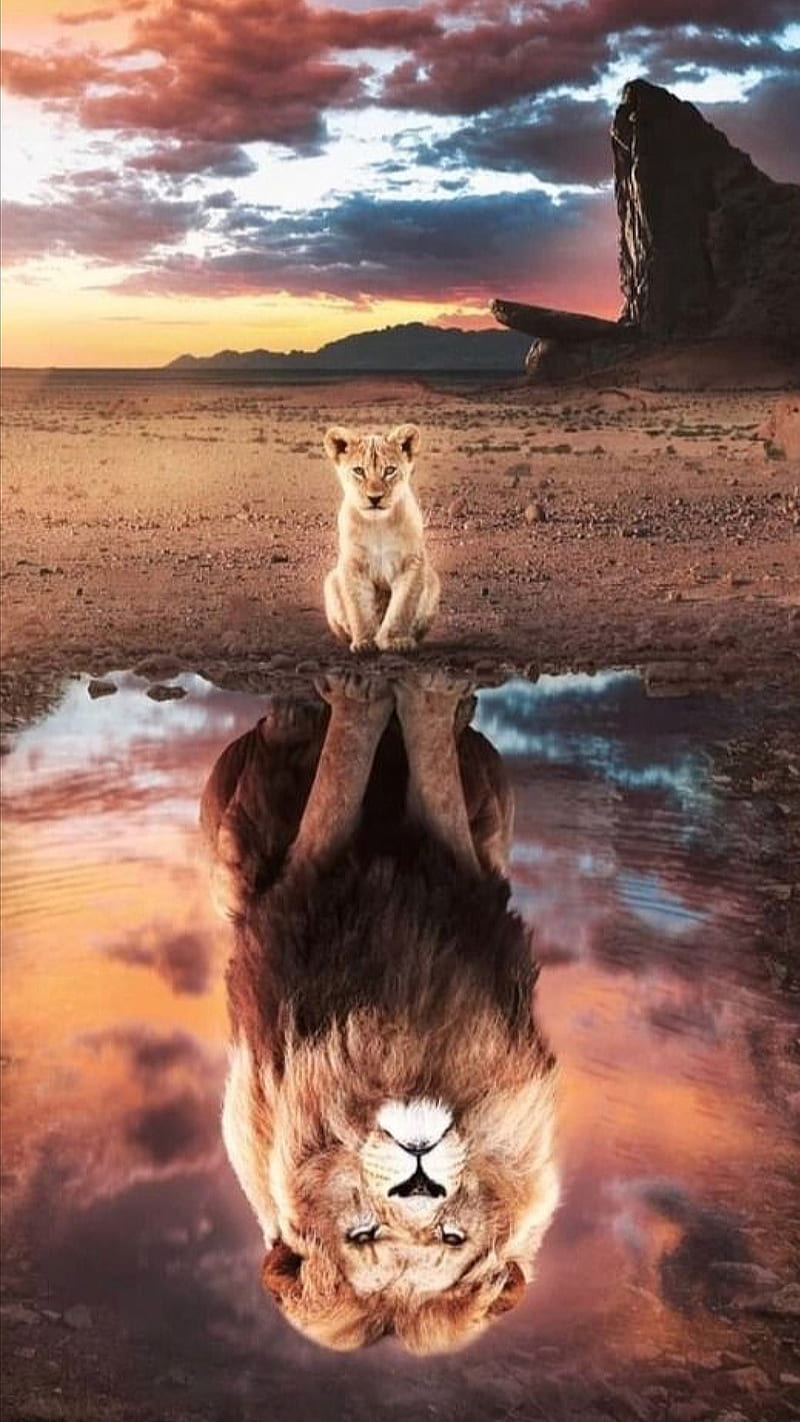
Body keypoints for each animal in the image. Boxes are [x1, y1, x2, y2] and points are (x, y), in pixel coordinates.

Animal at [200, 669, 559, 1353]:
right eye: (362, 1234)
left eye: (451, 1235)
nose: (419, 1177)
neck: (398, 1050)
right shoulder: (303, 877)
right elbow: (342, 772)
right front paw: (366, 692)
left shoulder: (465, 868)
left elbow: (430, 778)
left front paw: (421, 697)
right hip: (224, 841)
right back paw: (295, 716)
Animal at [322, 423, 440, 653]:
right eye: (359, 471)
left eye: (389, 470)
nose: (374, 498)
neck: (378, 525)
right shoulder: (353, 564)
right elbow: (359, 608)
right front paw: (365, 642)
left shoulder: (412, 562)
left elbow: (402, 607)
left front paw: (396, 641)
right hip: (330, 581)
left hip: (433, 580)